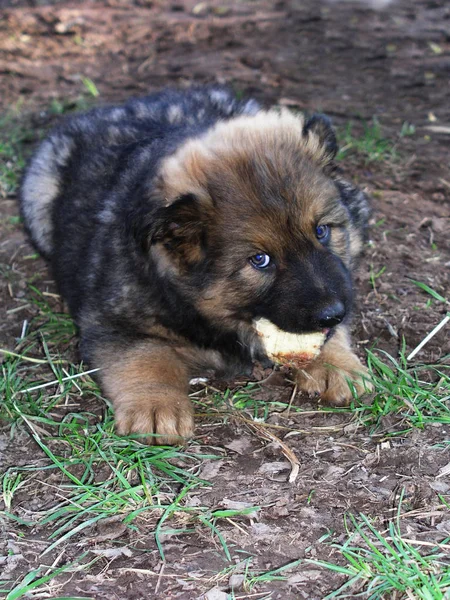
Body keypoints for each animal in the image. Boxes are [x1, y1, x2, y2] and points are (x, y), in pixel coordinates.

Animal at [19, 86, 370, 442]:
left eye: (322, 231)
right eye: (260, 260)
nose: (333, 312)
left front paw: (337, 365)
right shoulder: (113, 320)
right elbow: (145, 356)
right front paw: (155, 406)